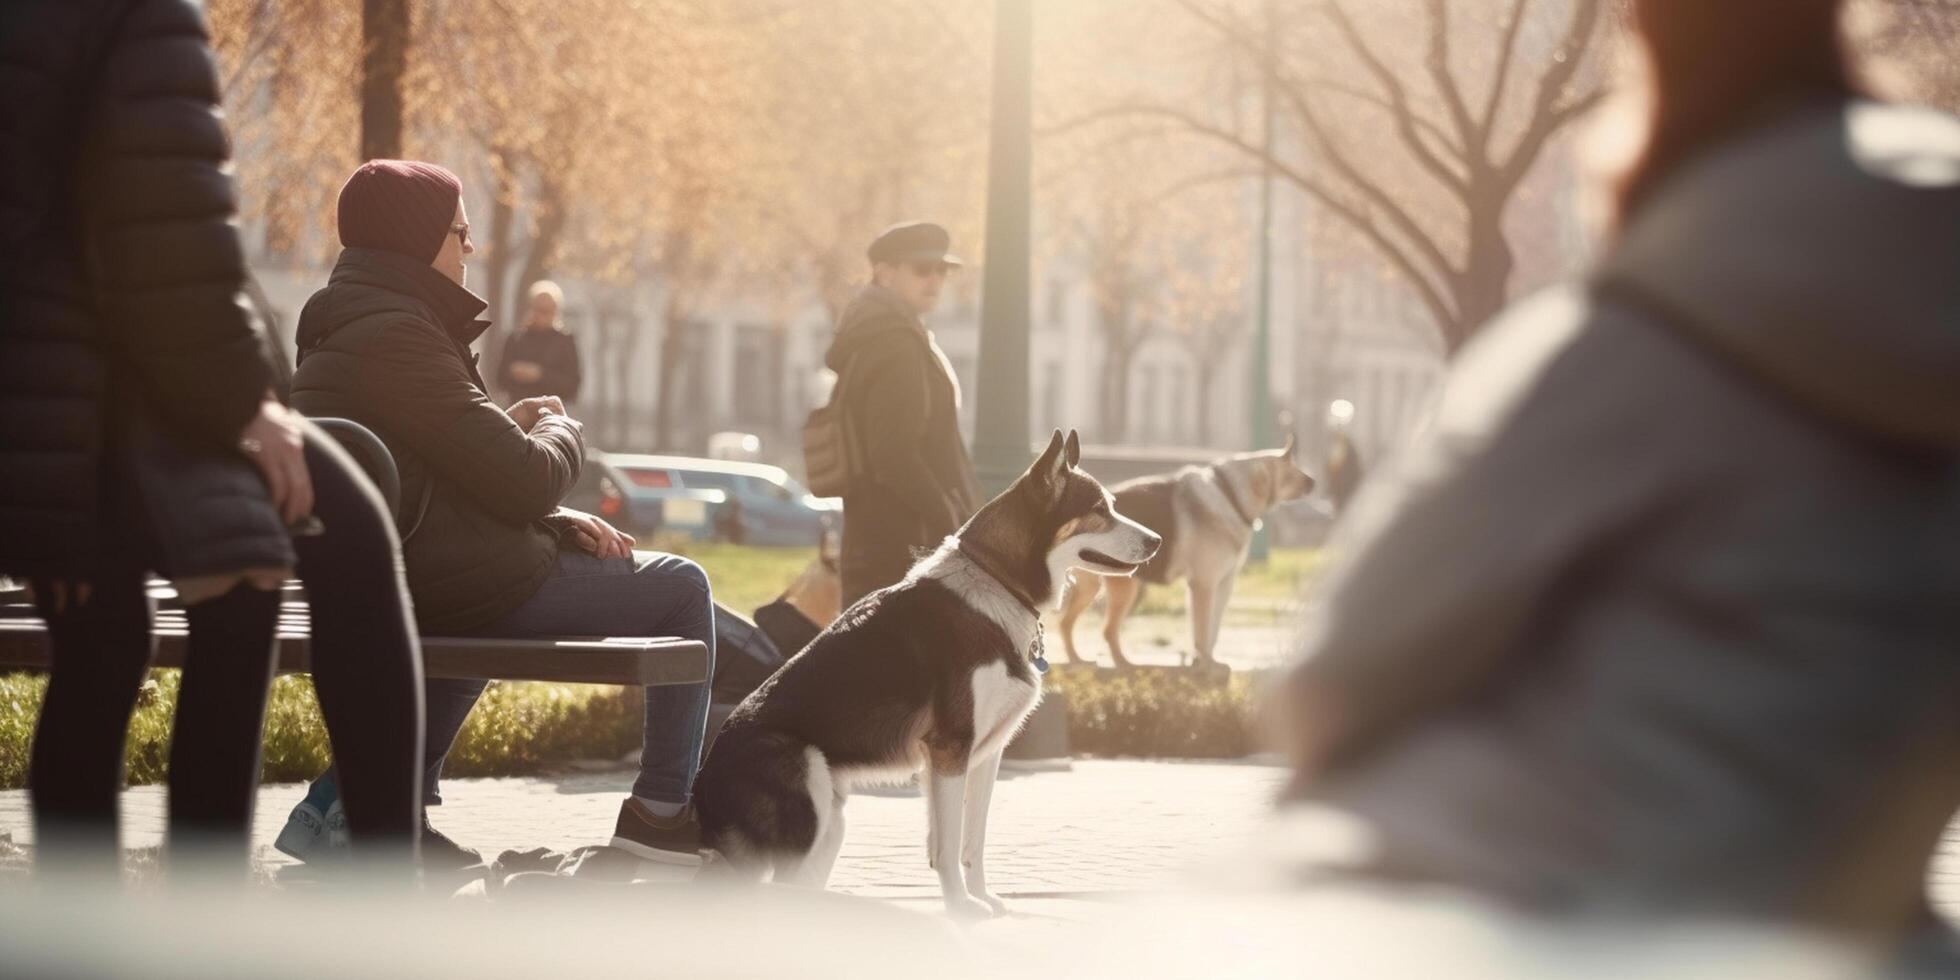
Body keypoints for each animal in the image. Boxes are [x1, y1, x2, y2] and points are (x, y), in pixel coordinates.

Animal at [697, 433, 1160, 913]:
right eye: (1100, 509)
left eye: (1112, 506)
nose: (1158, 541)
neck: (997, 584)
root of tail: (702, 784)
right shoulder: (949, 750)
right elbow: (948, 846)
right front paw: (961, 908)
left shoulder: (984, 756)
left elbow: (971, 843)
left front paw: (981, 898)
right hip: (808, 815)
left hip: (830, 826)